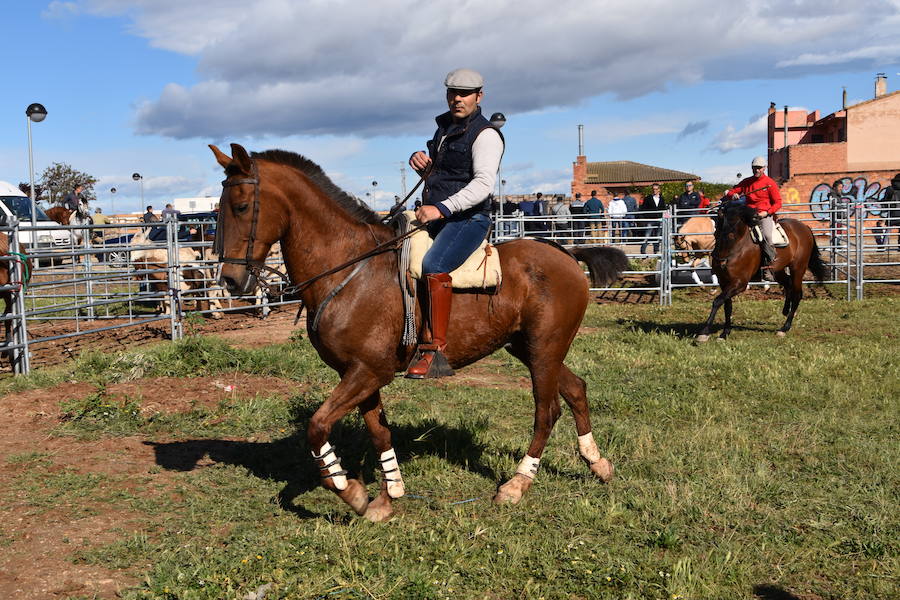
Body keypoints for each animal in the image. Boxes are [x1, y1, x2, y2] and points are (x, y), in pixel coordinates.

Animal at [214, 143, 628, 524]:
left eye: (241, 206)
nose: (230, 281)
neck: (350, 270)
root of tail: (566, 254)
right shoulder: (360, 374)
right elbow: (379, 433)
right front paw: (387, 496)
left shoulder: (368, 372)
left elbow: (317, 427)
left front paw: (352, 492)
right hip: (530, 348)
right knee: (576, 390)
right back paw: (597, 464)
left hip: (544, 350)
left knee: (547, 410)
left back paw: (517, 484)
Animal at [696, 202, 828, 342]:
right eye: (718, 224)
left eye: (732, 232)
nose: (719, 260)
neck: (735, 247)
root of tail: (805, 227)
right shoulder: (724, 281)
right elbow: (727, 305)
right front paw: (725, 333)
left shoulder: (740, 283)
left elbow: (717, 301)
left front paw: (704, 332)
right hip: (778, 270)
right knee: (788, 284)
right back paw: (785, 310)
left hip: (798, 268)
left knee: (797, 294)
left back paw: (784, 328)